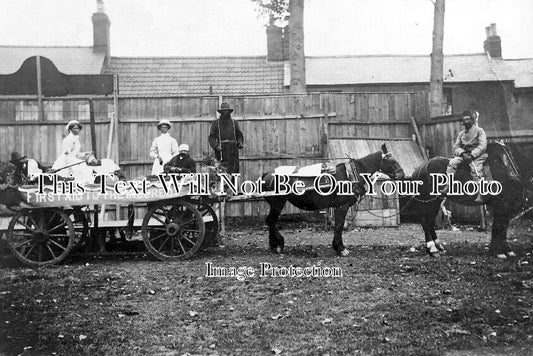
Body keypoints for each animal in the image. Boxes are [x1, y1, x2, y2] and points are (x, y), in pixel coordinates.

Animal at [260, 143, 404, 258]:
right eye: (391, 160)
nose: (401, 174)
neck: (351, 174)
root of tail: (267, 174)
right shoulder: (342, 206)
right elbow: (339, 226)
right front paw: (341, 249)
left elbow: (338, 226)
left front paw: (337, 247)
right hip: (277, 203)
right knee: (271, 220)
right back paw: (278, 244)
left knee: (271, 221)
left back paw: (274, 245)